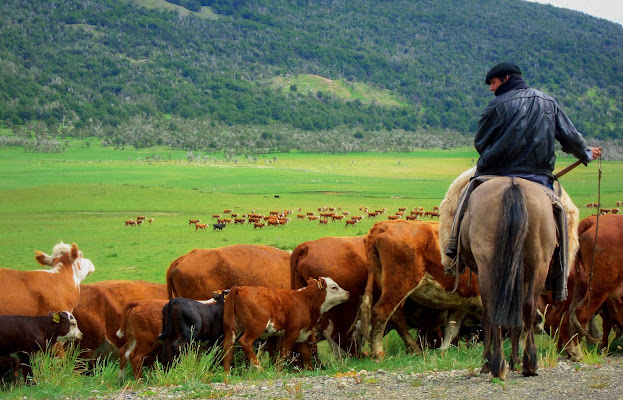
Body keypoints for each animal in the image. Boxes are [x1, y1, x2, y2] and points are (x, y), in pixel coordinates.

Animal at [223, 276, 352, 374]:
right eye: (334, 287)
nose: (348, 293)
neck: (306, 301)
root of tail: (239, 288)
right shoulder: (291, 332)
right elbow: (284, 353)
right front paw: (277, 371)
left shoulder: (301, 335)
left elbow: (306, 355)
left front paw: (310, 370)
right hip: (256, 326)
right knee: (245, 342)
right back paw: (259, 368)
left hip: (232, 327)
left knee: (228, 345)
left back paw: (227, 373)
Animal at [356, 220, 482, 358]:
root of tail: (383, 225)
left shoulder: (462, 302)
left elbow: (451, 328)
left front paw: (442, 351)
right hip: (399, 285)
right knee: (381, 313)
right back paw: (378, 353)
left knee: (396, 317)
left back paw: (415, 349)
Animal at [460, 177, 560, 380]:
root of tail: (513, 184)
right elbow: (518, 317)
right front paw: (515, 361)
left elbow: (488, 317)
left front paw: (487, 362)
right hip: (539, 263)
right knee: (528, 307)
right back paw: (530, 363)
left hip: (488, 267)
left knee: (494, 310)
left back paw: (497, 364)